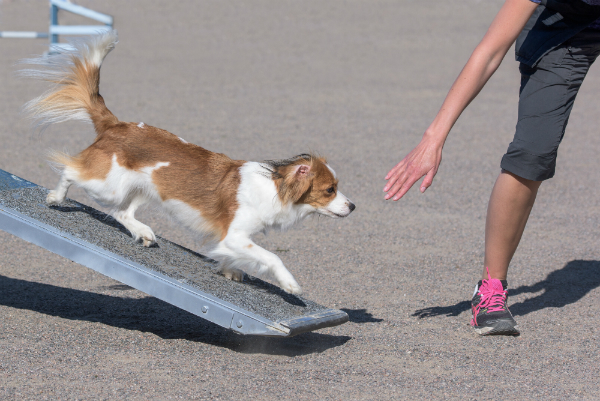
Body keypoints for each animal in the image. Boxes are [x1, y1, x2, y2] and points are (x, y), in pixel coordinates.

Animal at [21, 32, 354, 294]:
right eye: (330, 189)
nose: (353, 207)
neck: (274, 187)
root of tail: (116, 125)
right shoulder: (236, 234)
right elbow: (272, 257)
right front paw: (290, 284)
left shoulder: (232, 238)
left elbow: (232, 256)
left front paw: (230, 270)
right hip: (107, 184)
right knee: (70, 171)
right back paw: (55, 197)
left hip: (142, 188)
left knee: (121, 213)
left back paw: (143, 233)